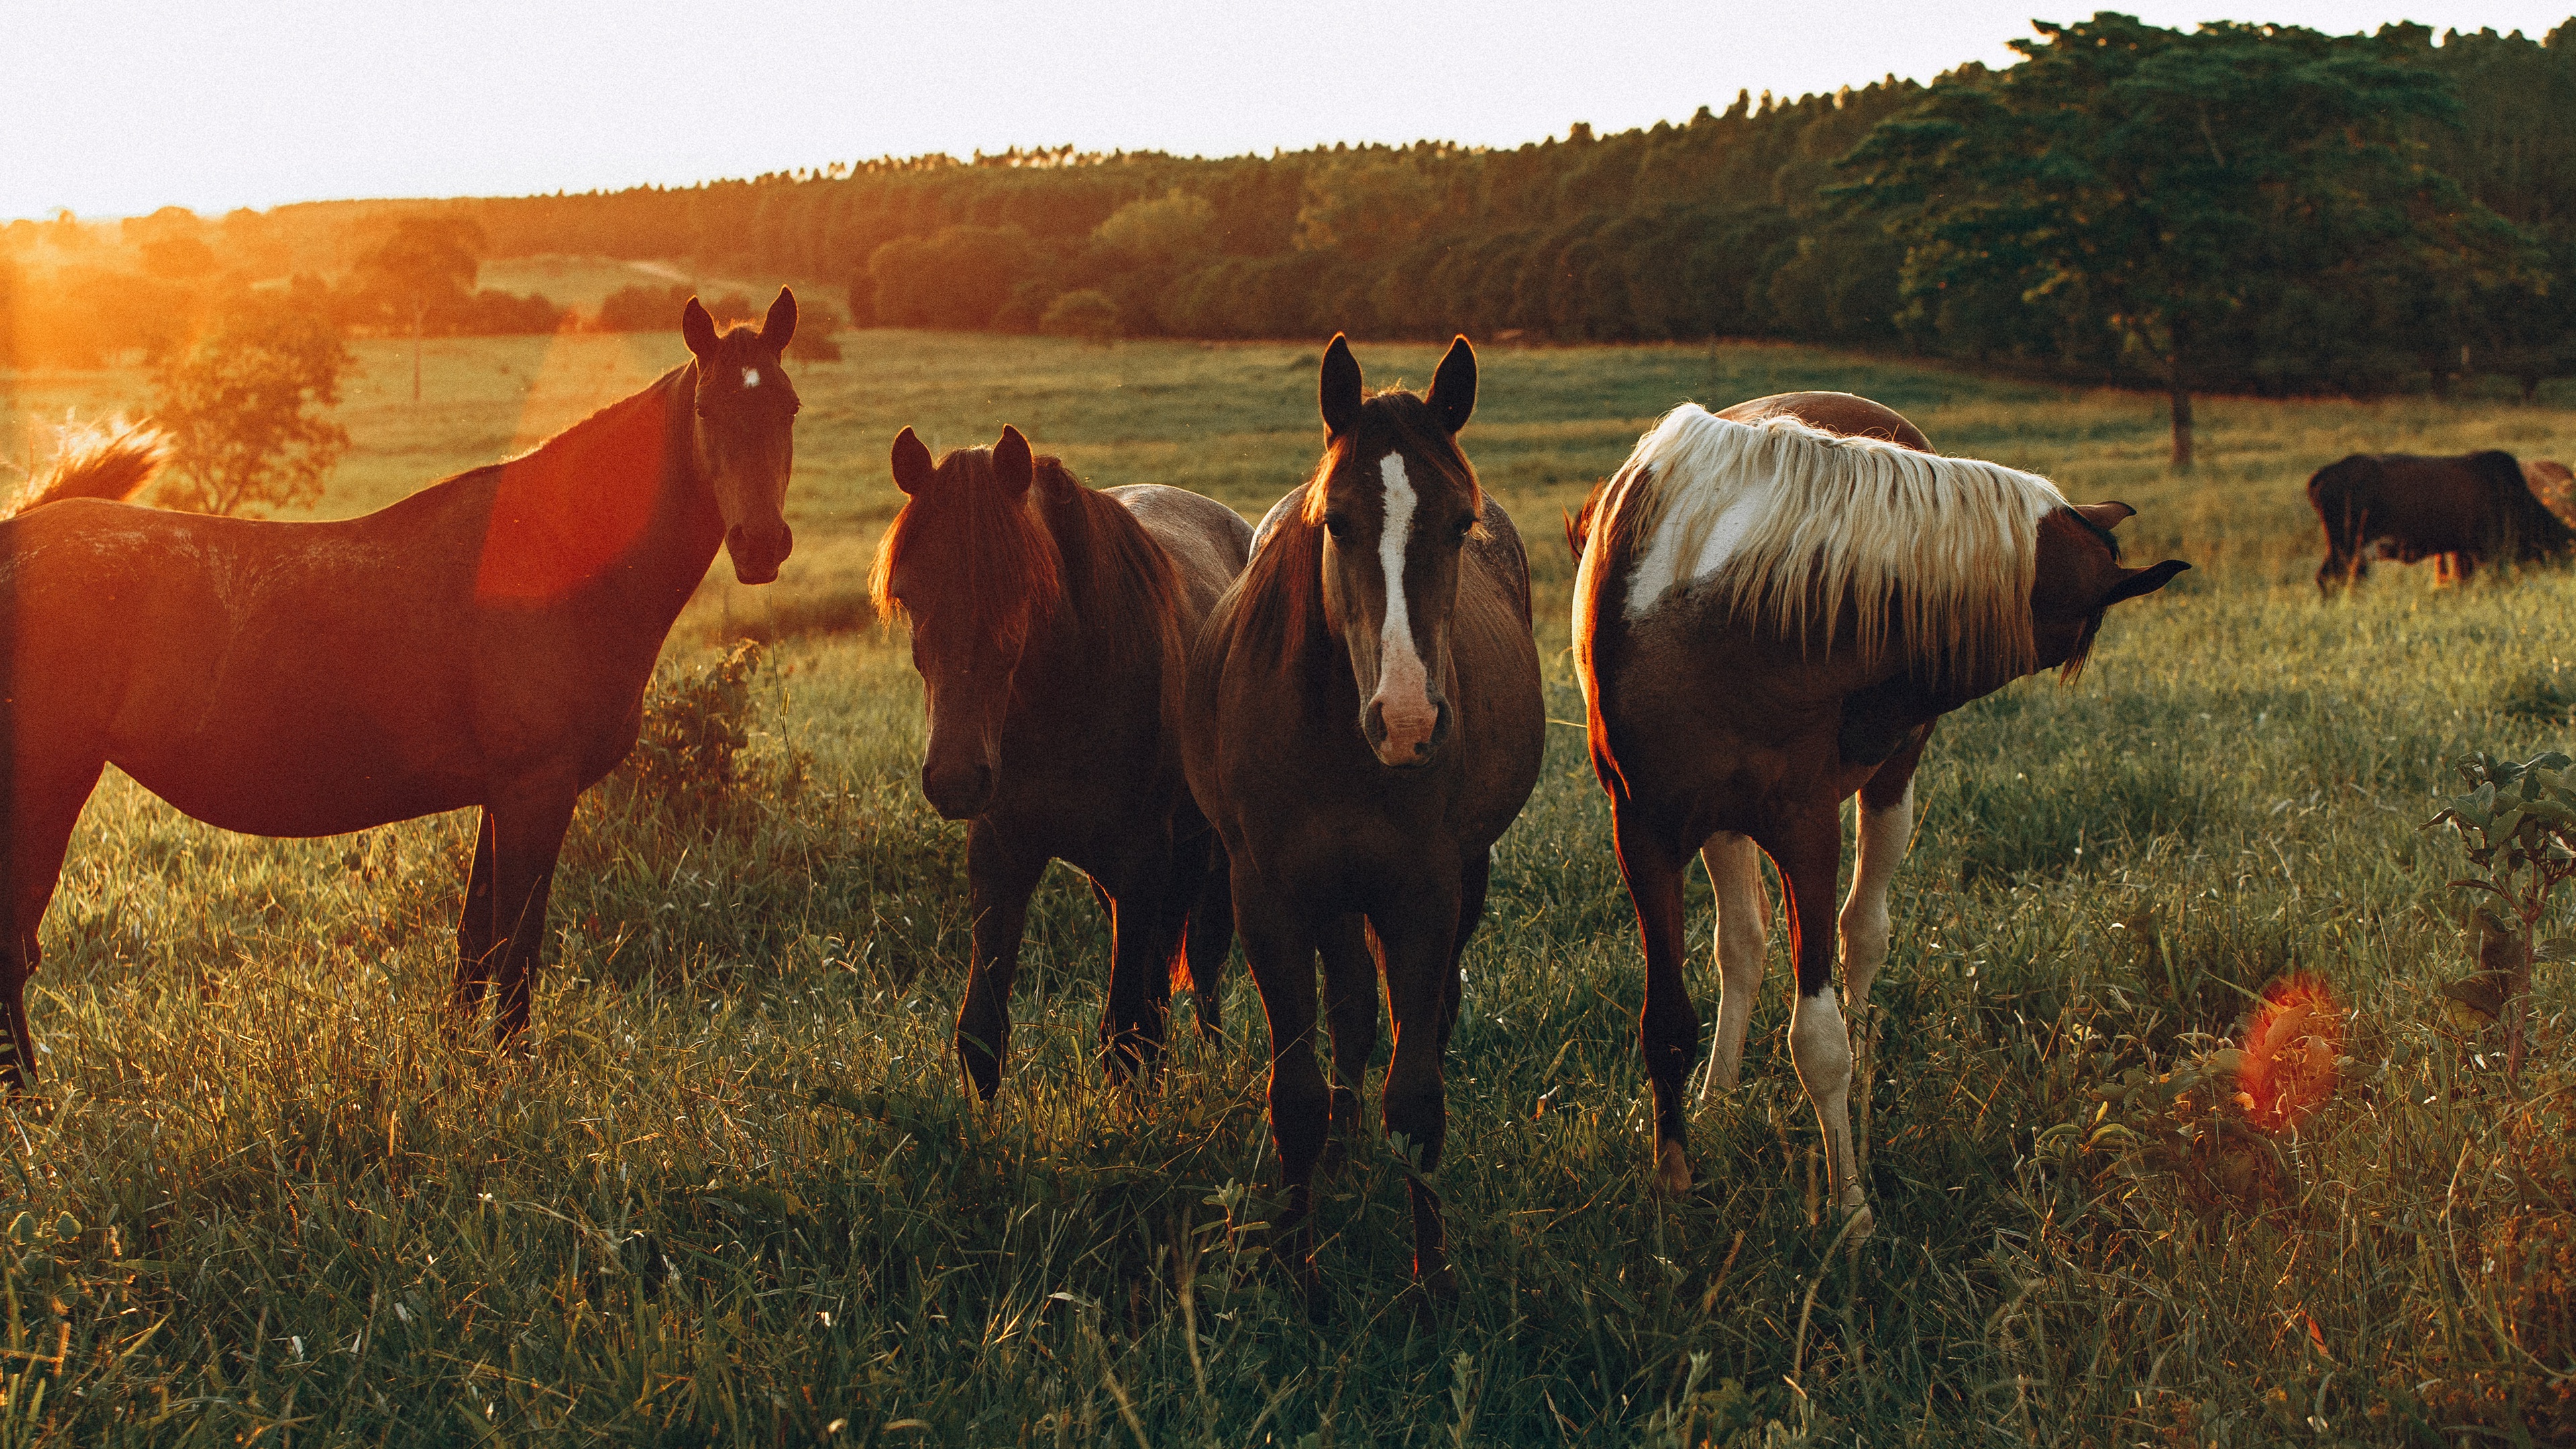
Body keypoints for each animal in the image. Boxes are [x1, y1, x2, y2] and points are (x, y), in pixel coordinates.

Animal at [0, 290, 798, 1083]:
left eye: (788, 407)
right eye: (707, 410)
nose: (761, 545)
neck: (554, 555)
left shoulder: (500, 794)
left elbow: (476, 943)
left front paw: (458, 1062)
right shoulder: (537, 788)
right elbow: (517, 945)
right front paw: (510, 1067)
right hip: (48, 783)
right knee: (14, 946)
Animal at [870, 423, 1252, 1087]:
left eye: (1020, 590)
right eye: (908, 594)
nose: (955, 779)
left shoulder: (1142, 856)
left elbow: (1127, 1037)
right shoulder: (1001, 853)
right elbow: (982, 1035)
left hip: (1204, 857)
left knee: (1202, 970)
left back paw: (1217, 1062)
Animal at [1179, 337, 1535, 1299]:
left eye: (1459, 523)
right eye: (1335, 522)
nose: (1407, 721)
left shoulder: (1423, 896)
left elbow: (1415, 1099)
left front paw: (1433, 1279)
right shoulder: (1269, 901)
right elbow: (1296, 1094)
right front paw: (1295, 1269)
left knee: (1420, 1019)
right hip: (1331, 900)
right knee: (1348, 1016)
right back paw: (1338, 1158)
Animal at [1556, 386, 2184, 1227]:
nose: (1889, 713)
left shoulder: (1808, 829)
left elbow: (1820, 1039)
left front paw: (1850, 1207)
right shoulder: (1646, 831)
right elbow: (1667, 1022)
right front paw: (1674, 1185)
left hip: (1886, 791)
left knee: (1863, 935)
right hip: (1721, 824)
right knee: (1743, 946)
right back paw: (1721, 1095)